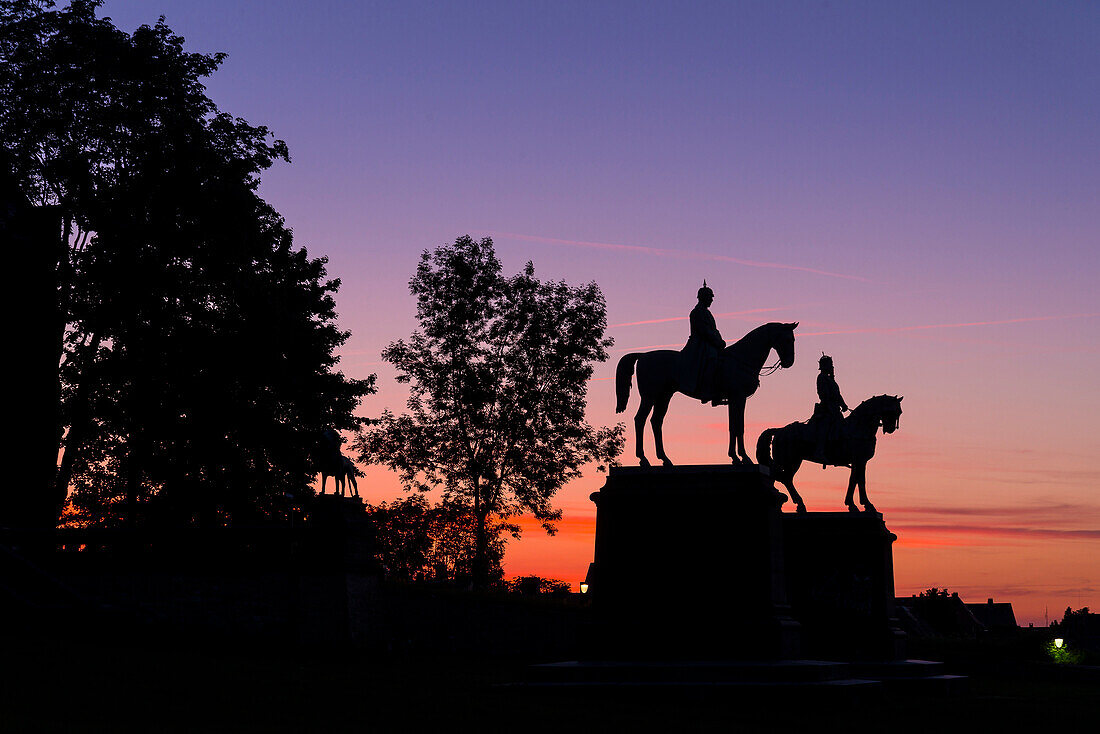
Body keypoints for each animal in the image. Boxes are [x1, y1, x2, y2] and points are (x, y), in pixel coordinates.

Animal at [616, 321, 796, 464]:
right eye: (787, 339)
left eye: (793, 339)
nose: (789, 362)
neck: (741, 359)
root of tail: (643, 355)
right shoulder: (738, 397)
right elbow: (738, 426)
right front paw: (743, 457)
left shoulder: (736, 399)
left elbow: (734, 426)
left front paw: (735, 457)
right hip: (649, 396)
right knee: (640, 420)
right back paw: (643, 458)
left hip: (664, 396)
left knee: (656, 421)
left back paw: (664, 458)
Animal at [756, 396, 902, 510]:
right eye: (892, 411)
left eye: (899, 412)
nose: (890, 429)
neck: (858, 428)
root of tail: (779, 430)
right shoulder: (859, 460)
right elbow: (860, 480)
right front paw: (865, 504)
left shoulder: (860, 462)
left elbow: (855, 480)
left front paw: (853, 504)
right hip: (788, 461)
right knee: (779, 477)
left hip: (793, 462)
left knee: (786, 478)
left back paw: (800, 504)